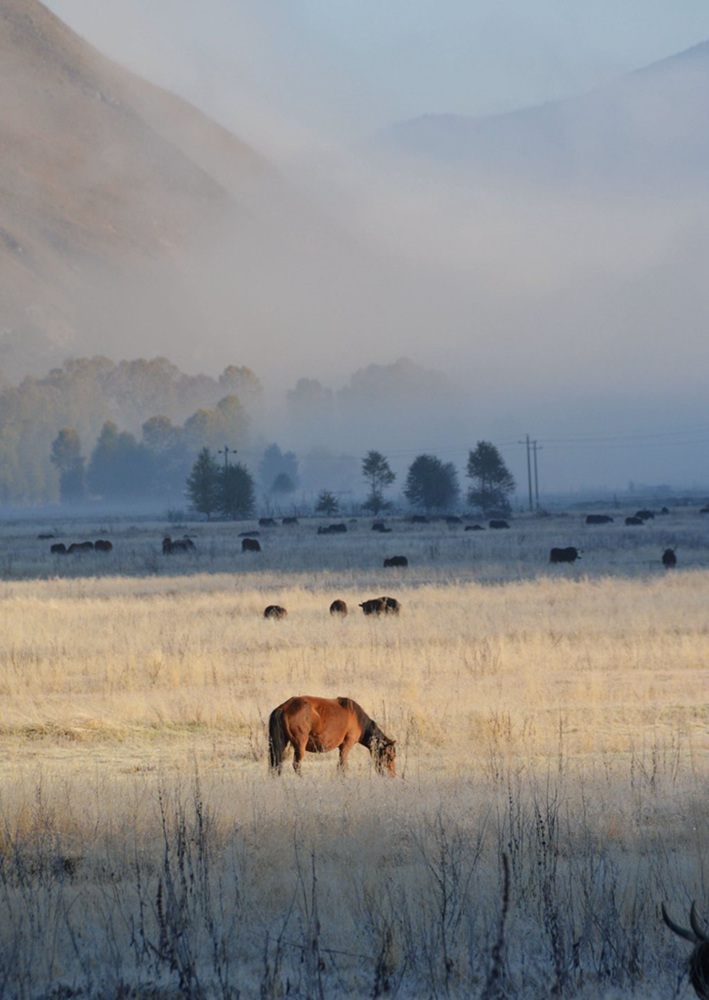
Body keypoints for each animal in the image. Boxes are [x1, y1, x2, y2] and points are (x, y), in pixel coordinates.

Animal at [268, 692, 396, 776]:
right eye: (389, 757)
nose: (392, 775)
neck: (357, 718)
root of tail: (283, 708)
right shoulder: (346, 745)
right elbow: (342, 766)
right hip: (300, 745)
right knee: (296, 765)